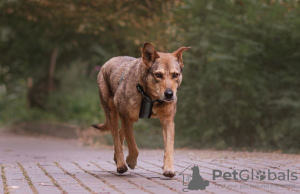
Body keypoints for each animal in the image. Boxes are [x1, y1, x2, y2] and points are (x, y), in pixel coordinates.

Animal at [92, 42, 190, 177]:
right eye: (158, 75)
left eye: (175, 75)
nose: (169, 94)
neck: (151, 97)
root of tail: (108, 62)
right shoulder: (127, 118)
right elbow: (133, 146)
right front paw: (131, 161)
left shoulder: (167, 121)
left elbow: (169, 148)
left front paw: (169, 169)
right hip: (114, 115)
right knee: (117, 140)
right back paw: (121, 164)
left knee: (120, 135)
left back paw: (117, 159)